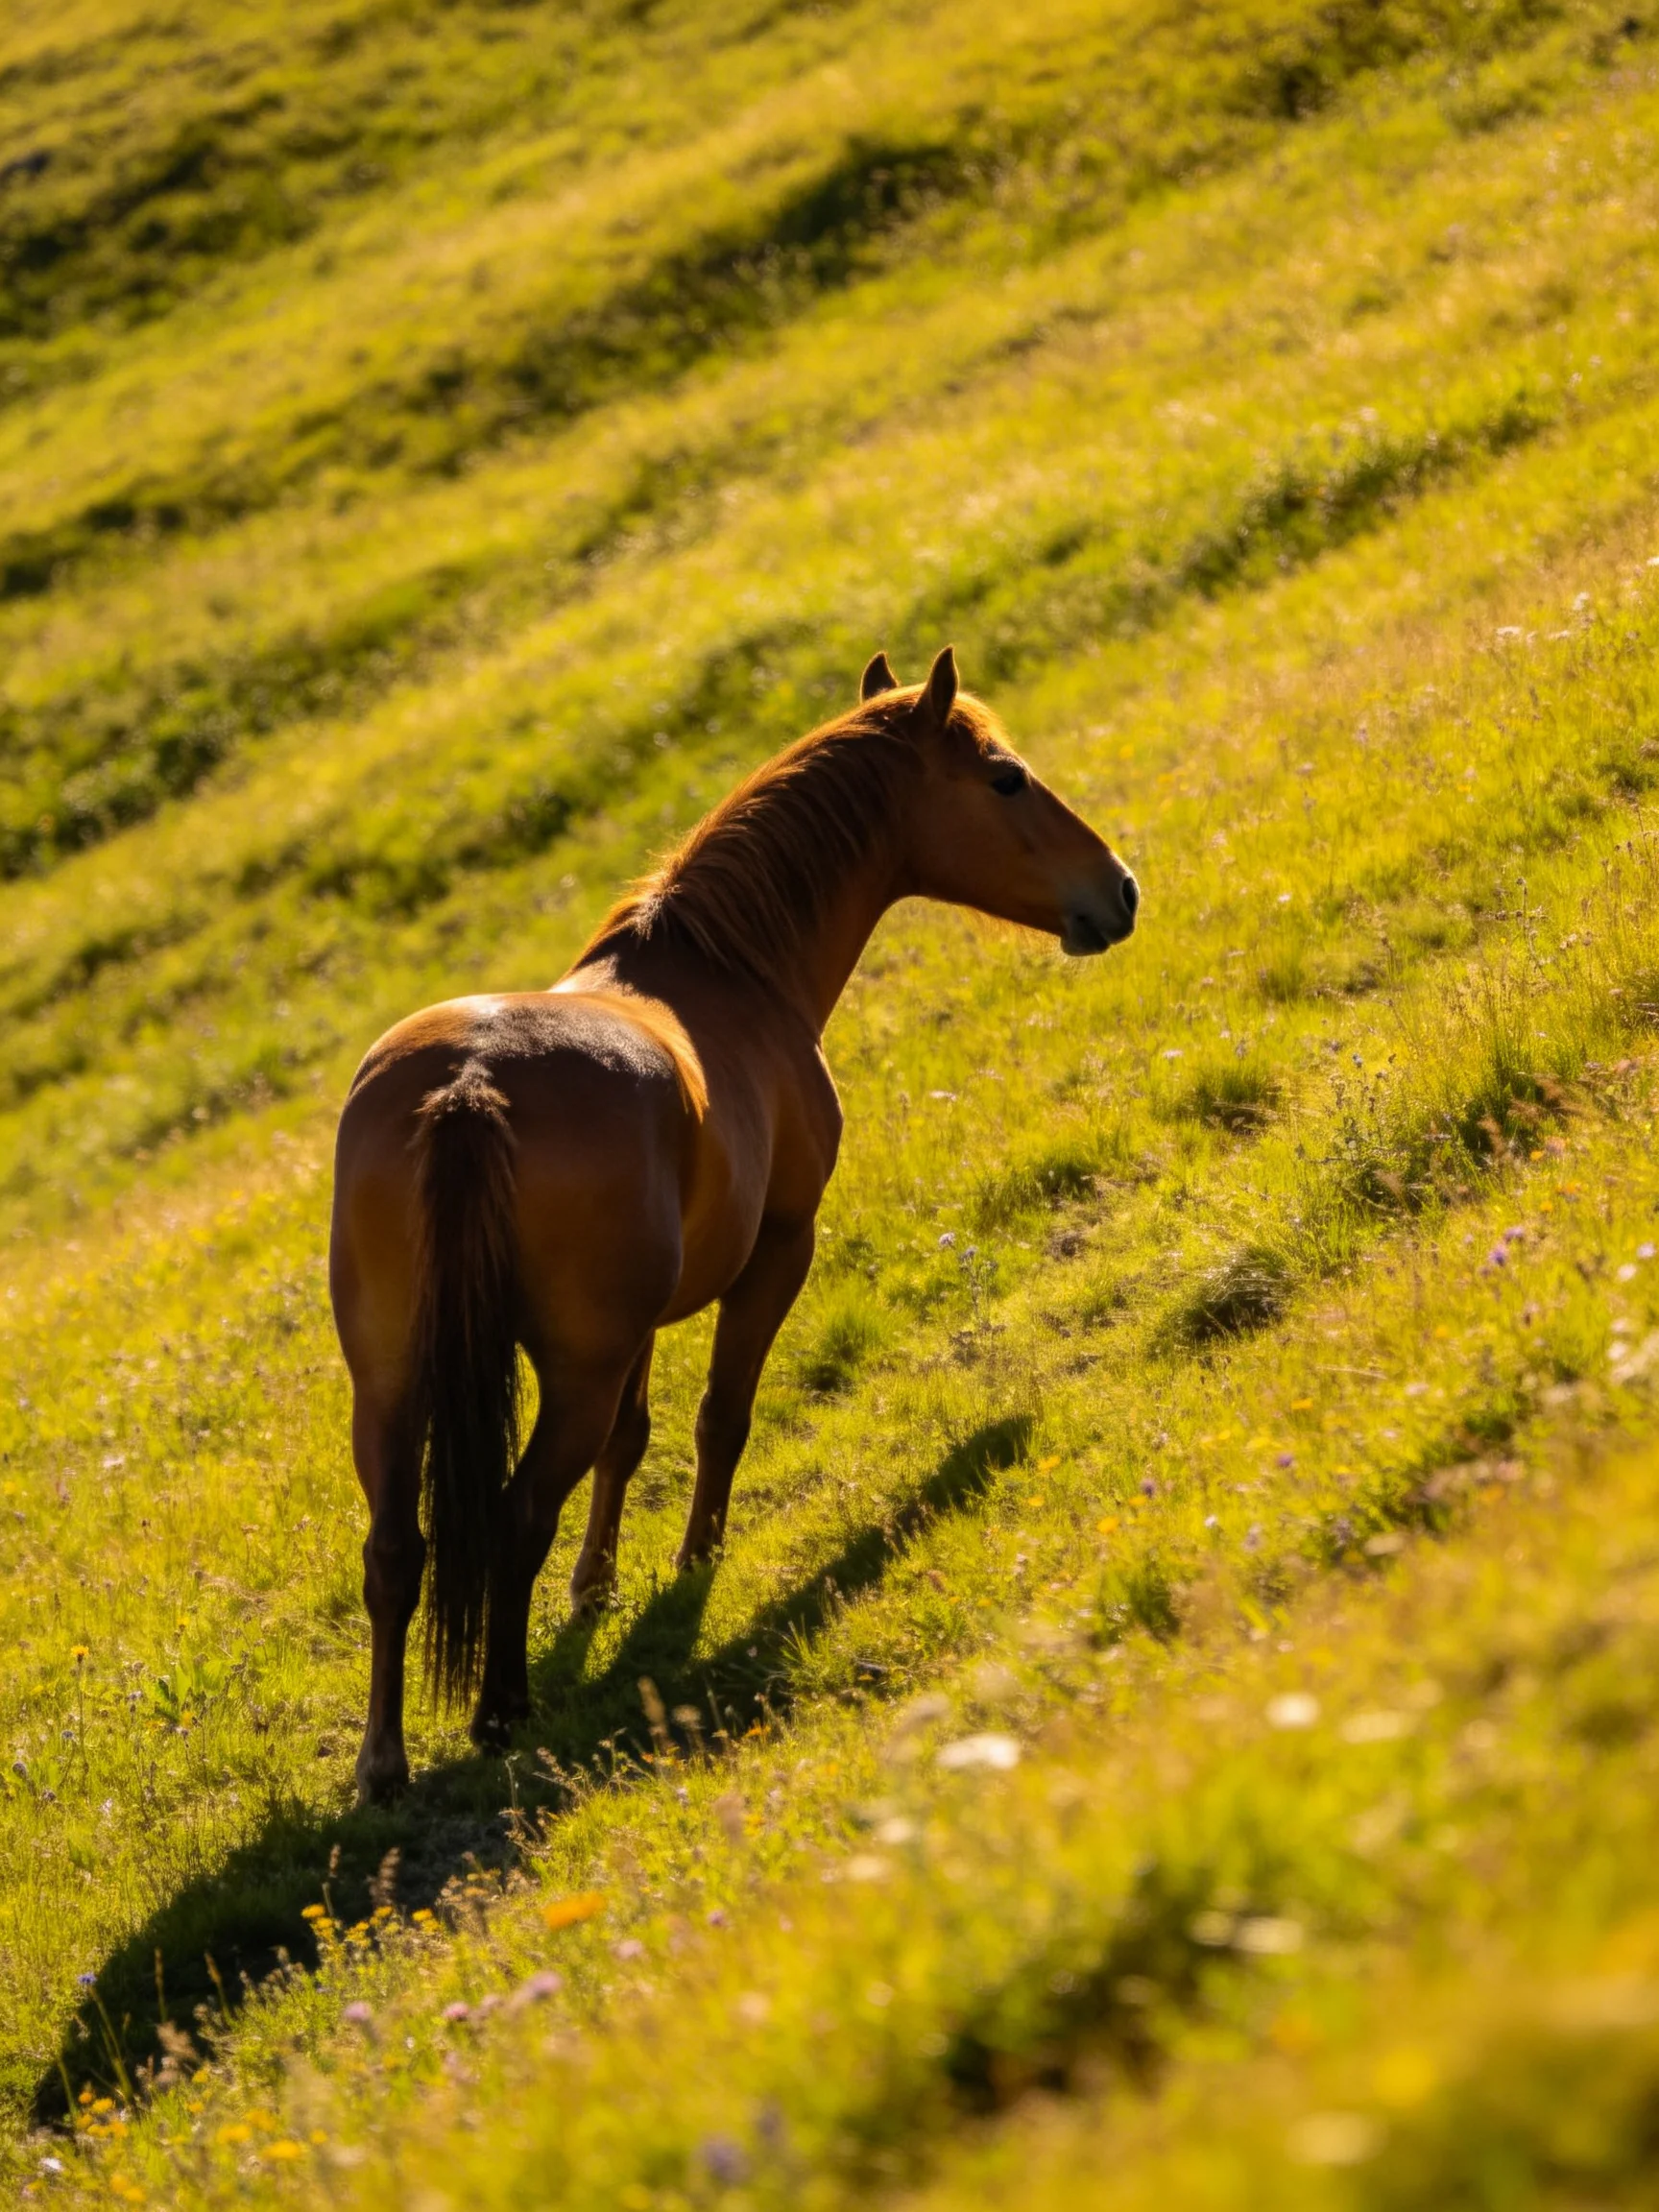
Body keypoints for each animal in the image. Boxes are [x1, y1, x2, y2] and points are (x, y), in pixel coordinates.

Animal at [329, 646, 1138, 1802]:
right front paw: (693, 1563)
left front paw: (597, 1588)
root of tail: (469, 1086)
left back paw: (384, 1762)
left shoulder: (639, 1326)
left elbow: (632, 1444)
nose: (1119, 889)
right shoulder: (776, 1254)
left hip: (392, 1376)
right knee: (517, 1515)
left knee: (396, 1550)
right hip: (567, 1366)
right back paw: (500, 1710)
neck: (726, 972)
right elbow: (723, 1416)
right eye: (1007, 779)